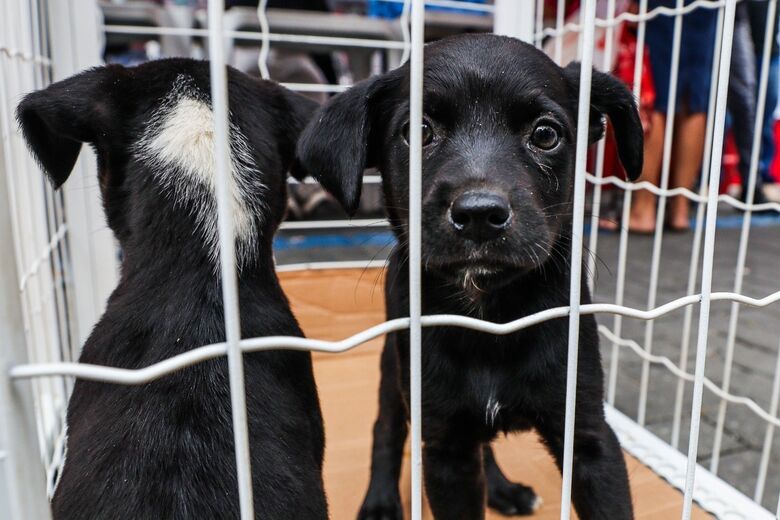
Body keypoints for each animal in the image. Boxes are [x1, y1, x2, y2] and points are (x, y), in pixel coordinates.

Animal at [296, 33, 644, 520]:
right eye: (418, 132)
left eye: (546, 134)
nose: (480, 215)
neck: (490, 312)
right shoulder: (446, 448)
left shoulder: (589, 437)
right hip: (394, 369)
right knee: (386, 428)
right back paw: (381, 500)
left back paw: (502, 490)